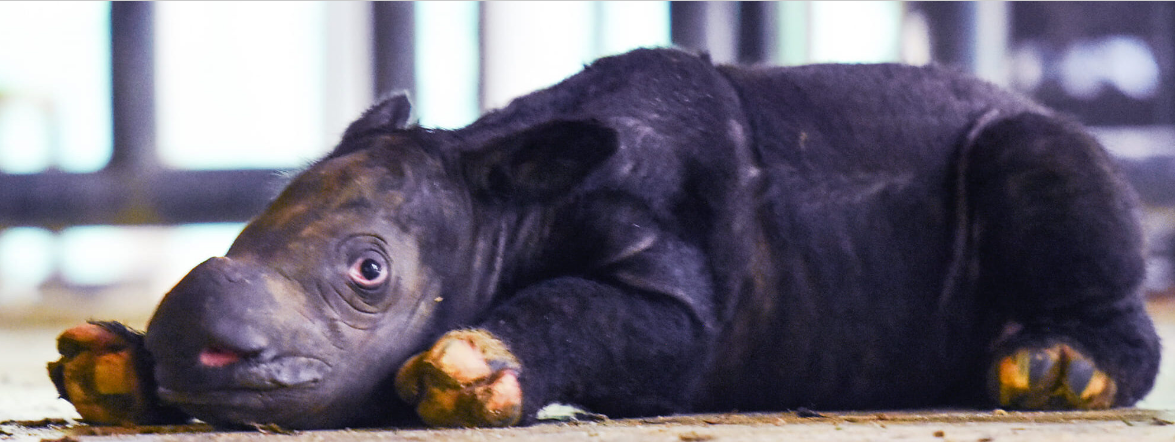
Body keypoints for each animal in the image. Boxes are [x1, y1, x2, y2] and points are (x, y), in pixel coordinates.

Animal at [49, 48, 1160, 429]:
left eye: (369, 272)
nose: (194, 344)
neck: (499, 192)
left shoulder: (673, 281)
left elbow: (623, 315)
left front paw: (468, 370)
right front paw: (111, 369)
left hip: (1032, 136)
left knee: (1039, 156)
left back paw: (1056, 370)